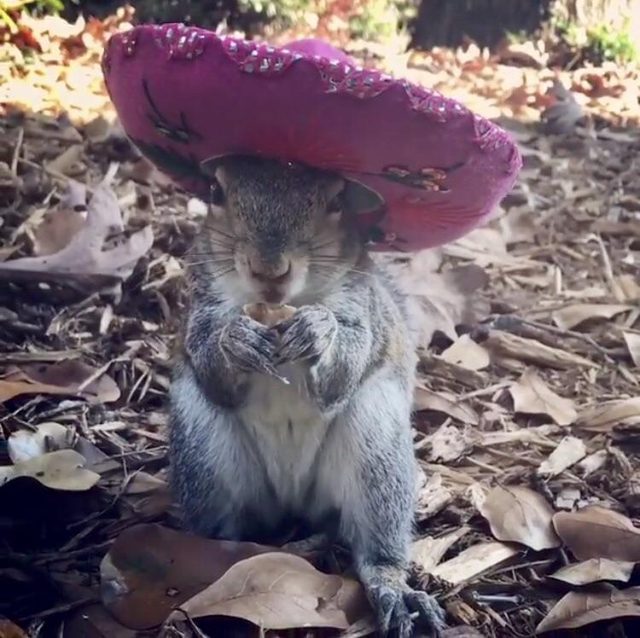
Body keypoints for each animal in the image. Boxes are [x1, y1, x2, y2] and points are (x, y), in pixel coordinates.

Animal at [168, 155, 446, 638]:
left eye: (337, 201)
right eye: (216, 192)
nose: (268, 271)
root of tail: (293, 498)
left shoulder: (361, 307)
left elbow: (344, 368)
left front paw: (318, 330)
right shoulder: (201, 303)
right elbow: (211, 365)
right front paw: (235, 340)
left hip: (376, 452)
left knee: (377, 547)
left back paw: (395, 590)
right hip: (203, 451)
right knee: (220, 526)